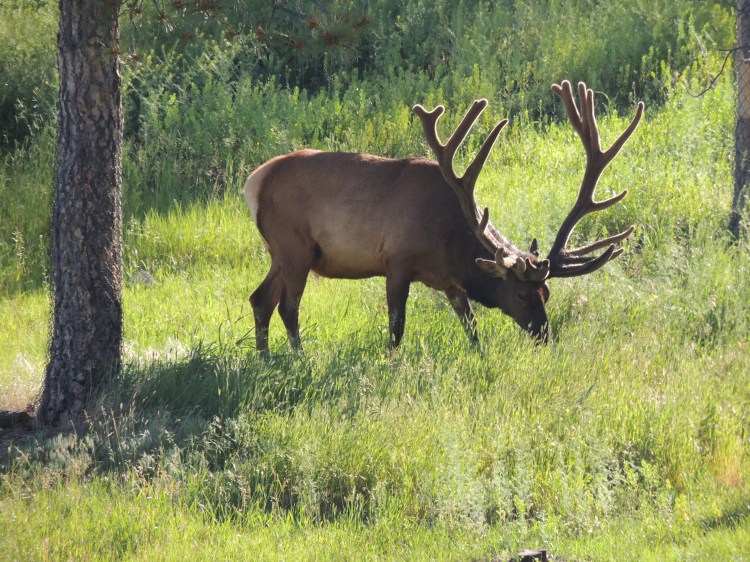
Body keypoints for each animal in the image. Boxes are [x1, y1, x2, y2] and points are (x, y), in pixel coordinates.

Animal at [244, 81, 644, 351]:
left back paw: (266, 359)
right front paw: (393, 366)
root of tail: (253, 183)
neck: (451, 241)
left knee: (260, 299)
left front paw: (481, 359)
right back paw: (299, 359)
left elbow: (473, 328)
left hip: (281, 252)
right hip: (294, 247)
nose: (544, 336)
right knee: (288, 307)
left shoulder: (450, 282)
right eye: (520, 295)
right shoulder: (397, 261)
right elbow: (396, 330)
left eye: (546, 292)